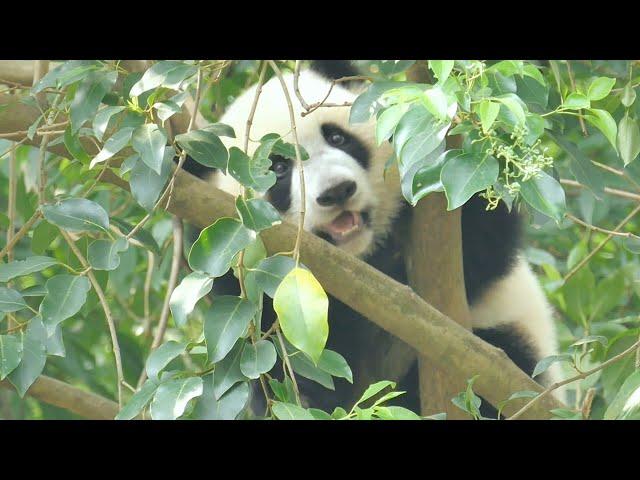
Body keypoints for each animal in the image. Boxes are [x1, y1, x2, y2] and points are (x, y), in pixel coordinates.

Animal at [180, 61, 564, 416]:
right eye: (278, 168)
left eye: (337, 138)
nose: (337, 191)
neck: (359, 260)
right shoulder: (246, 277)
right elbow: (286, 358)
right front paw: (309, 391)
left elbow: (482, 246)